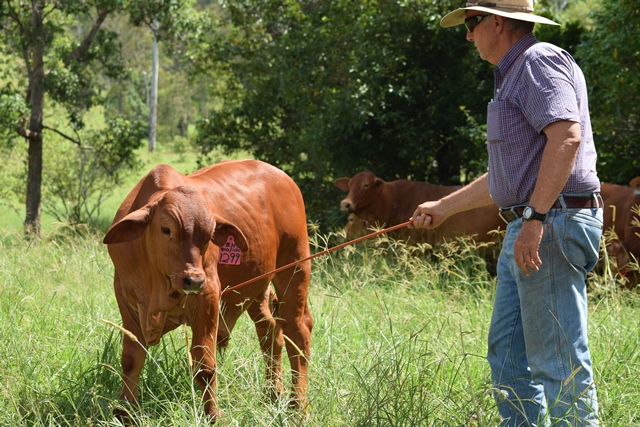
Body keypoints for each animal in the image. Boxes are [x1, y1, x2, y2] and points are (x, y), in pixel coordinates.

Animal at [103, 159, 313, 422]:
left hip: (296, 266)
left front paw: (213, 414)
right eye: (166, 229)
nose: (193, 279)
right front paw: (124, 411)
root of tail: (284, 178)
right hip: (257, 287)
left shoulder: (208, 296)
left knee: (298, 333)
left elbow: (204, 364)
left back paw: (299, 404)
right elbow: (131, 358)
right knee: (271, 331)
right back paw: (272, 393)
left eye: (209, 235)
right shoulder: (125, 298)